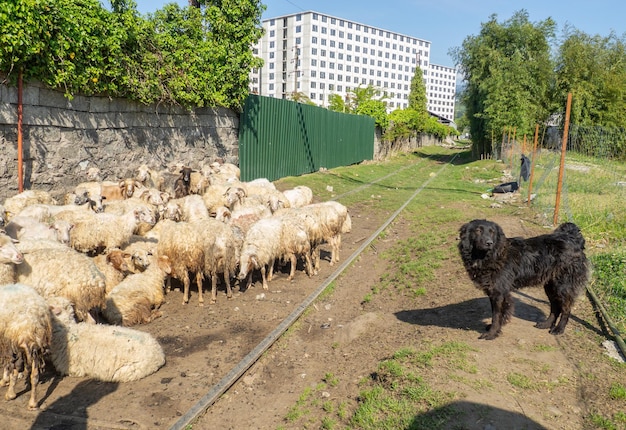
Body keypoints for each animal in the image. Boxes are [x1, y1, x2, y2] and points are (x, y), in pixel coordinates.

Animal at [456, 220, 588, 340]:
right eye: (478, 230)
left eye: (492, 232)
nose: (489, 243)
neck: (491, 255)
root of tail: (572, 238)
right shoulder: (493, 291)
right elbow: (496, 314)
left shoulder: (499, 293)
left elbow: (496, 315)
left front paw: (492, 334)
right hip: (550, 286)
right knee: (555, 306)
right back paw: (546, 324)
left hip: (563, 286)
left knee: (566, 308)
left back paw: (559, 329)